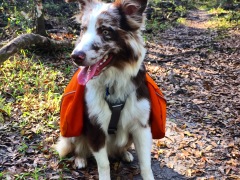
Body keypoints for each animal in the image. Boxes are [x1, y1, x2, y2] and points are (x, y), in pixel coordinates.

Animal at [55, 0, 155, 179]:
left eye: (106, 31)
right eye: (83, 29)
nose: (75, 56)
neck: (113, 82)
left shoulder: (142, 126)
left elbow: (145, 164)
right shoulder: (95, 127)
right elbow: (103, 164)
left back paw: (125, 153)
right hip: (72, 130)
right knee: (78, 147)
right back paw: (80, 159)